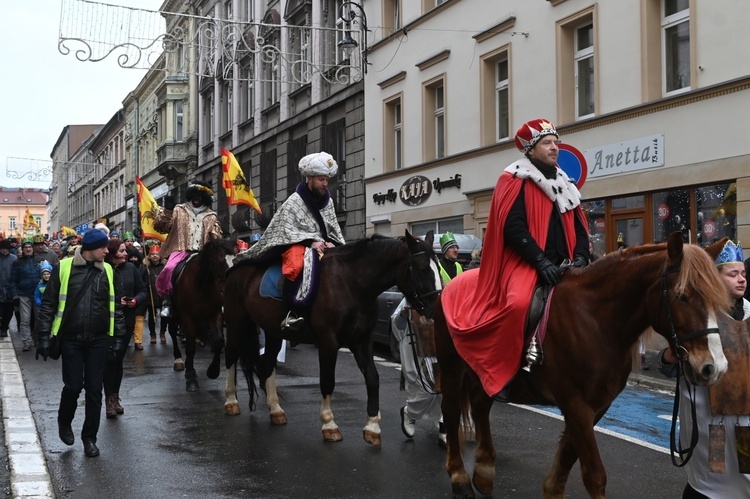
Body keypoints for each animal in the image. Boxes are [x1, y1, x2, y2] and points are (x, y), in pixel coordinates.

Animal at [172, 236, 234, 392]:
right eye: (220, 260)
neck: (202, 285)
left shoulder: (215, 313)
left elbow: (219, 340)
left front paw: (213, 371)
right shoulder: (187, 317)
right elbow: (190, 347)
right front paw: (191, 377)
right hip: (173, 313)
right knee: (172, 332)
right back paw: (178, 360)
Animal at [223, 232, 440, 448]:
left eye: (439, 268)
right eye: (422, 268)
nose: (434, 310)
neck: (352, 284)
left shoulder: (362, 341)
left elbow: (372, 378)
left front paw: (372, 427)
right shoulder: (328, 342)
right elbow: (328, 381)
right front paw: (329, 424)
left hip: (273, 332)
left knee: (267, 365)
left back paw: (276, 410)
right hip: (236, 323)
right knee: (231, 356)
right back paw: (231, 401)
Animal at [434, 233, 736, 499]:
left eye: (716, 297)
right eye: (682, 295)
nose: (714, 367)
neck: (596, 320)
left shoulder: (595, 406)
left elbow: (568, 456)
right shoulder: (576, 404)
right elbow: (594, 475)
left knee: (480, 406)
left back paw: (484, 472)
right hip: (451, 370)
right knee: (451, 412)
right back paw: (459, 478)